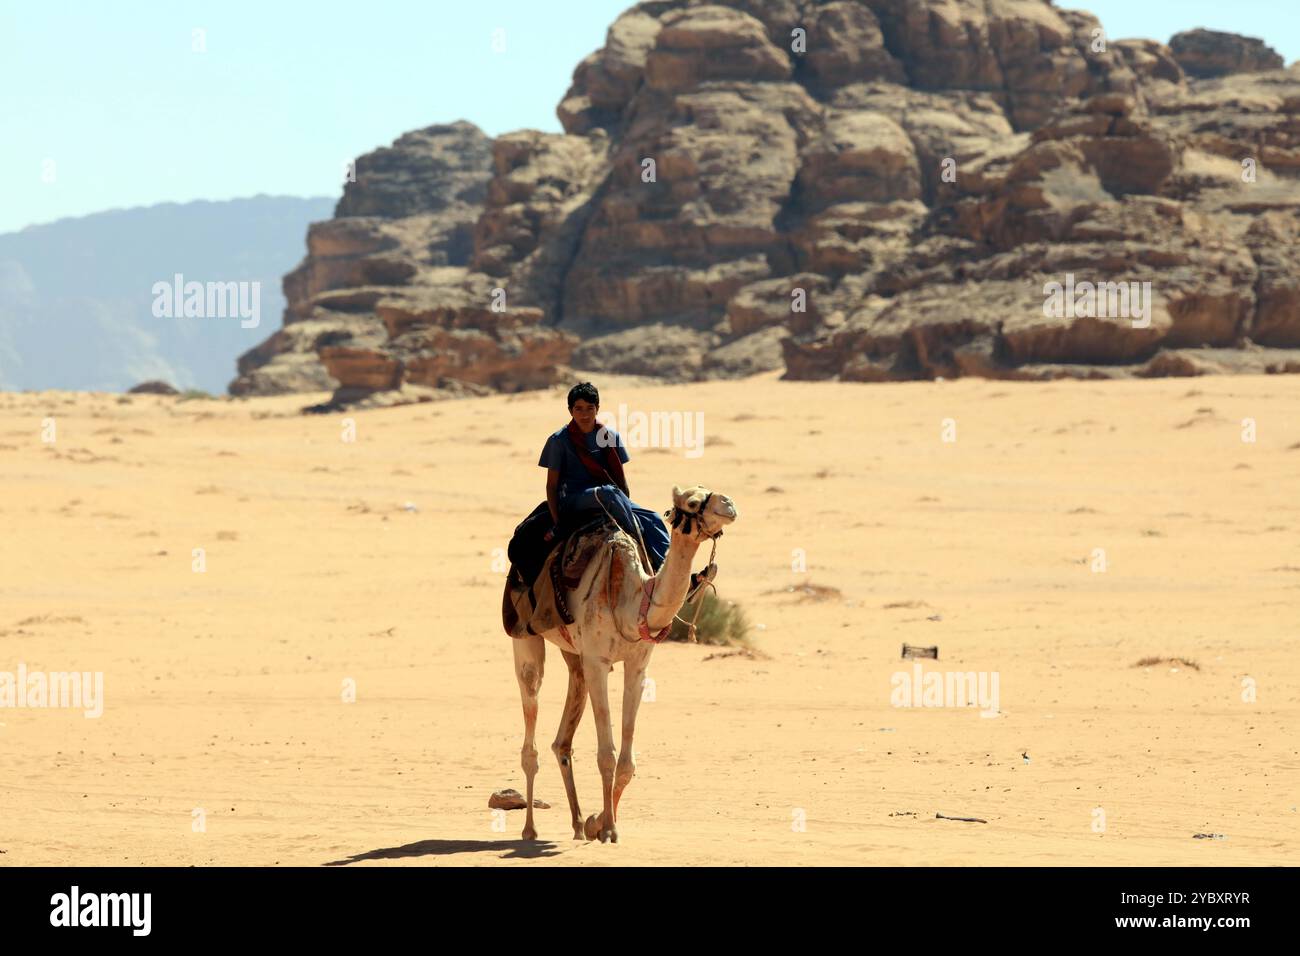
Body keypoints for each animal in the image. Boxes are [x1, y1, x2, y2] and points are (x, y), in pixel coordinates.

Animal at [509, 486, 738, 842]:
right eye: (692, 501)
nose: (728, 505)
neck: (632, 600)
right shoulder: (598, 663)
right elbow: (607, 754)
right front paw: (608, 828)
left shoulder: (637, 666)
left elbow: (627, 763)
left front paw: (598, 822)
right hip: (525, 638)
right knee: (530, 719)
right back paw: (530, 830)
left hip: (575, 657)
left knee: (562, 741)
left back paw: (577, 825)